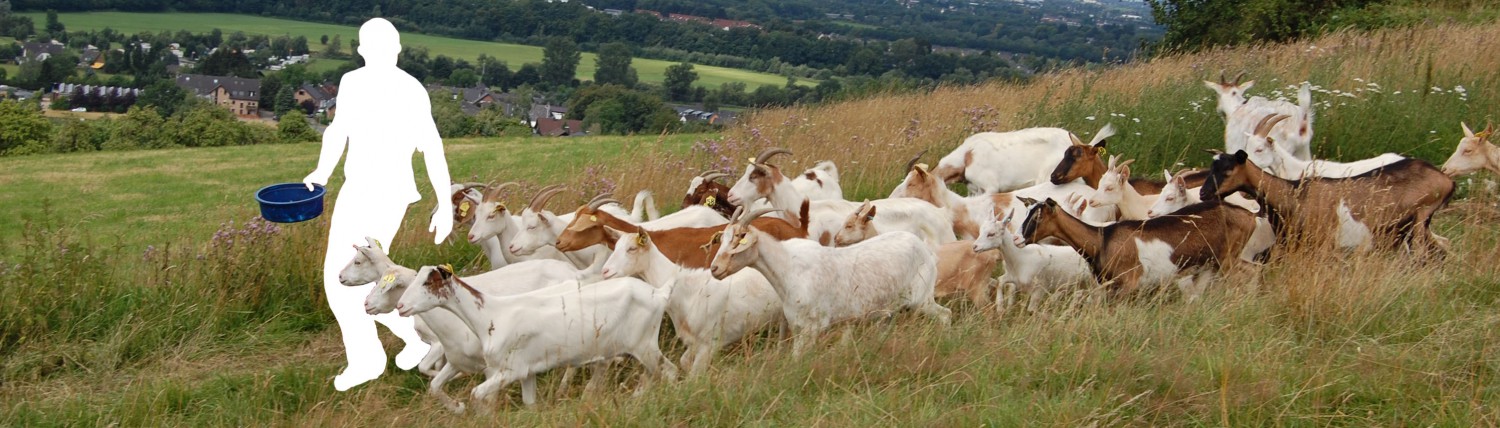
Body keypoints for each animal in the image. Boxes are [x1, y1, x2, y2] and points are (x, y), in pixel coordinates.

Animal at [399, 264, 681, 408]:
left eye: (428, 282)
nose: (401, 306)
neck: (491, 315)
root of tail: (660, 293)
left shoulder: (509, 370)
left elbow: (477, 394)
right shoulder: (527, 371)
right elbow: (529, 403)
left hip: (645, 345)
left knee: (670, 371)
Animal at [600, 228, 780, 375]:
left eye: (632, 248)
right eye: (615, 247)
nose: (605, 271)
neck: (686, 291)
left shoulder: (709, 343)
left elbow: (694, 376)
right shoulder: (693, 342)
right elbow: (684, 362)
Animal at [705, 208, 948, 354]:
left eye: (739, 238)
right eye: (723, 238)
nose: (715, 269)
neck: (788, 269)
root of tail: (924, 247)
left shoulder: (811, 328)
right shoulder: (796, 326)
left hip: (922, 298)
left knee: (946, 315)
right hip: (888, 311)